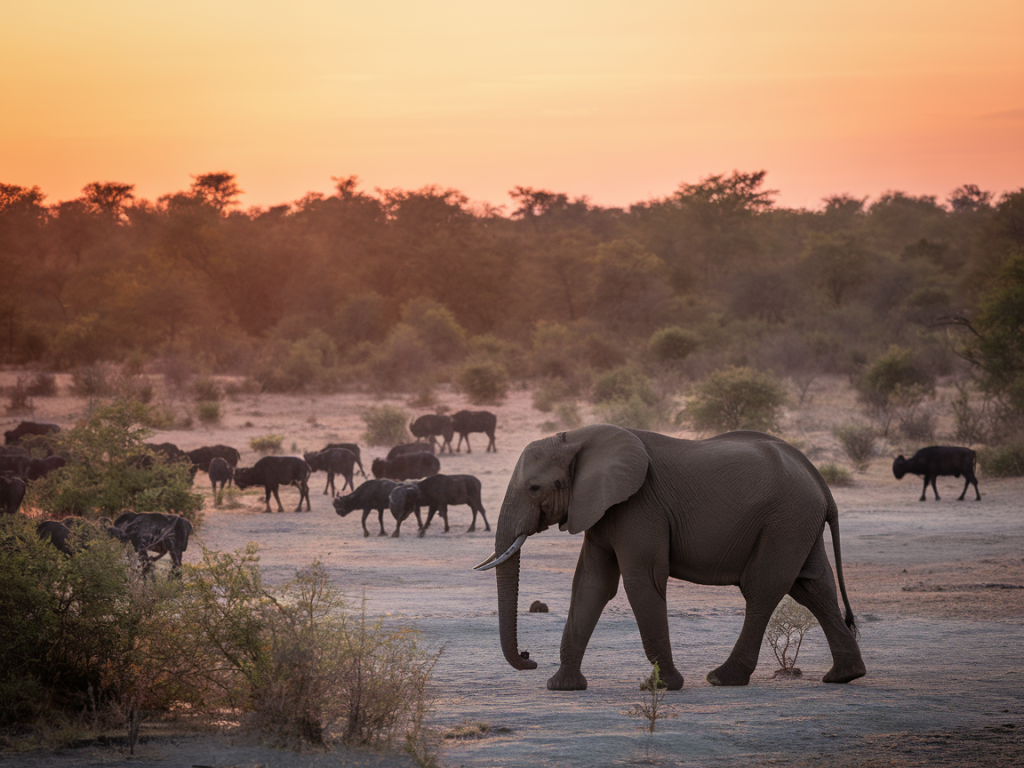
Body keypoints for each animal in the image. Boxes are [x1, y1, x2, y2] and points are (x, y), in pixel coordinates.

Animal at [473, 423, 864, 696]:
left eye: (534, 488)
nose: (528, 657)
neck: (577, 438)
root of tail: (819, 480)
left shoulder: (639, 506)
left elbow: (641, 581)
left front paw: (660, 687)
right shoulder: (601, 510)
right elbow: (591, 585)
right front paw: (562, 686)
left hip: (785, 519)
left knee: (763, 588)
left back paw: (722, 678)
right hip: (797, 521)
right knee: (813, 587)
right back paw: (845, 676)